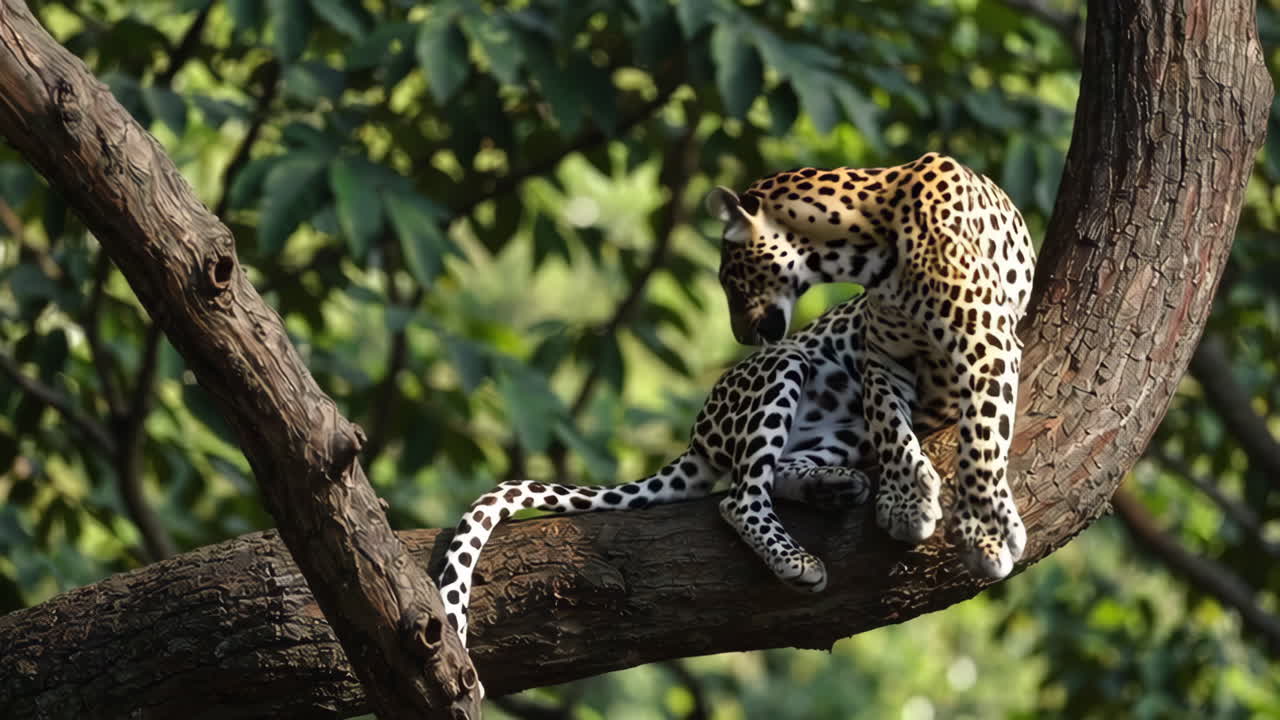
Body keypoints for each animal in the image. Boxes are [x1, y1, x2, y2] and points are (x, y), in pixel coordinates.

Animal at [706, 150, 1036, 582]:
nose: (740, 336)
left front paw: (984, 532)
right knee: (745, 492)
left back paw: (827, 493)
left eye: (730, 279)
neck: (861, 251)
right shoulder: (884, 356)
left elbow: (982, 438)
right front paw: (906, 504)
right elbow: (889, 423)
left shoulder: (984, 342)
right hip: (791, 369)